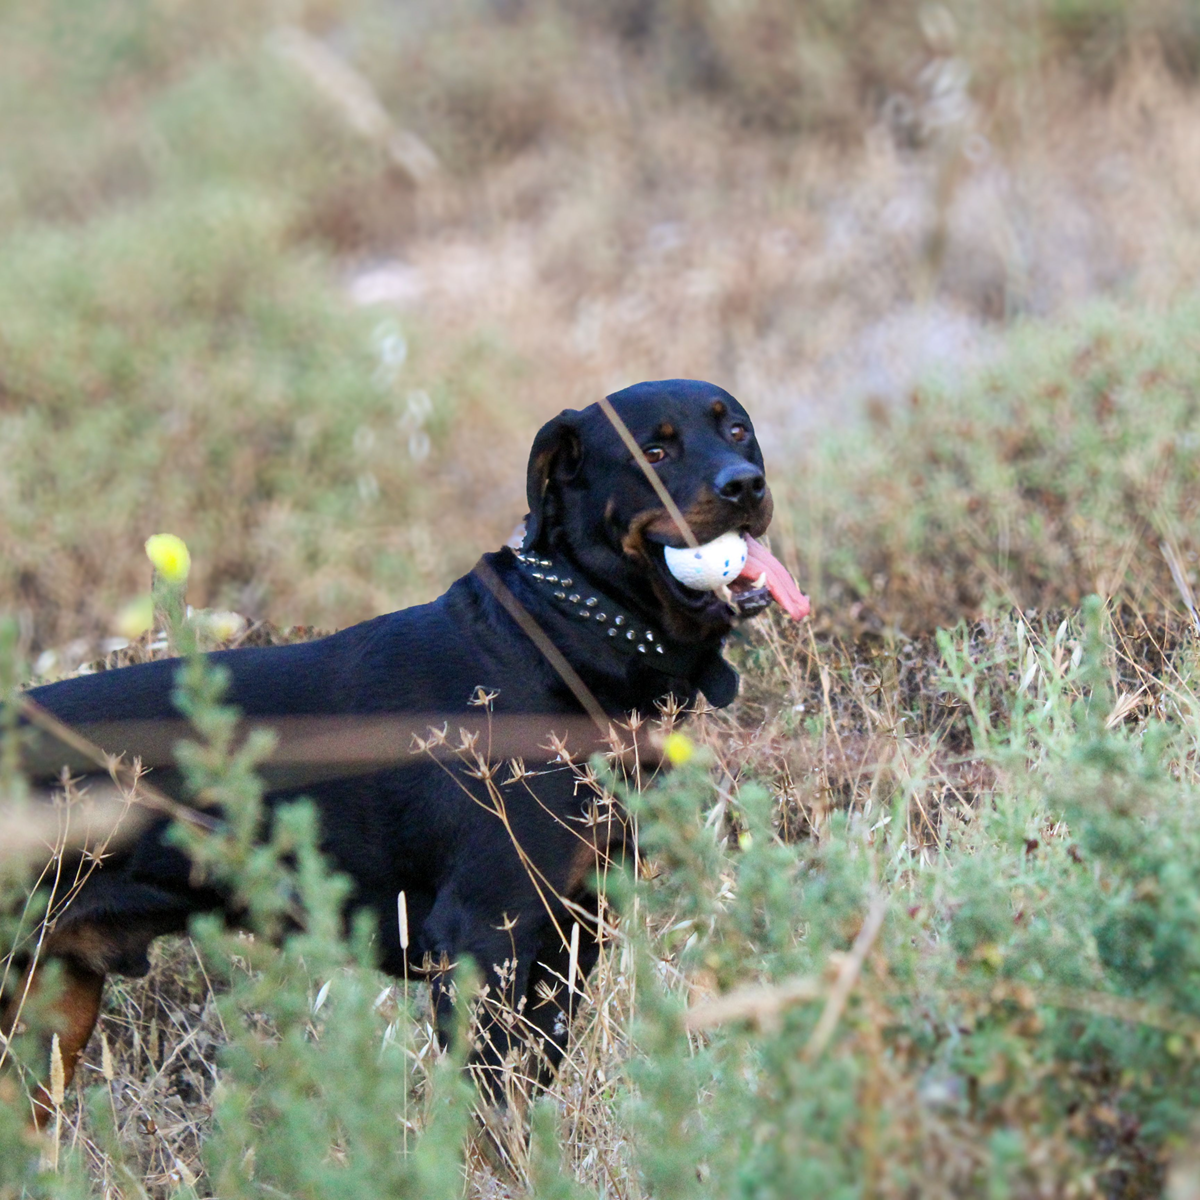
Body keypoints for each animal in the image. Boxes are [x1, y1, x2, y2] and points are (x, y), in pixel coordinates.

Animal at [4, 379, 806, 1128]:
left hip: (51, 1010)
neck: (572, 626)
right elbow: (488, 1121)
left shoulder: (573, 937)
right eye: (655, 452)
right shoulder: (483, 937)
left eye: (738, 430)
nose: (743, 485)